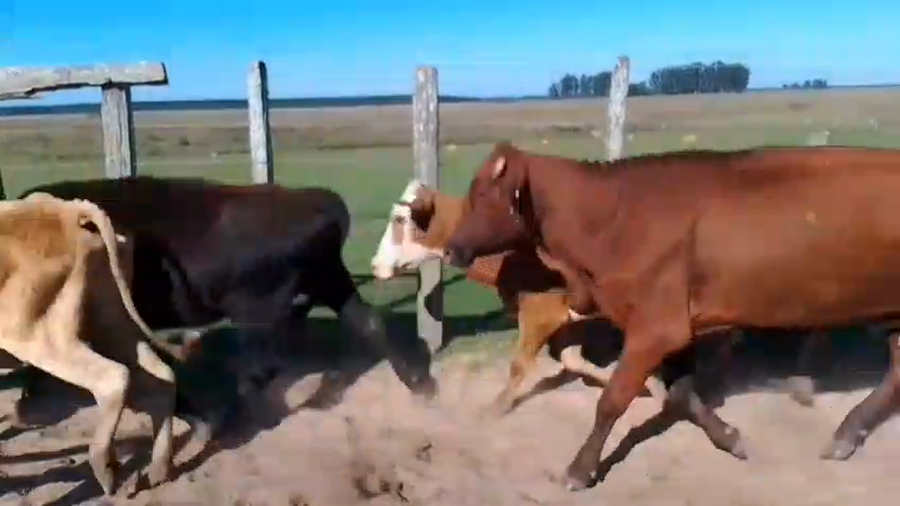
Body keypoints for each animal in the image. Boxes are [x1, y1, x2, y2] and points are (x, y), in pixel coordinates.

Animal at [0, 192, 177, 495]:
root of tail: (67, 210)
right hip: (110, 321)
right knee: (162, 376)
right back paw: (156, 469)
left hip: (37, 335)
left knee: (113, 378)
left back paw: (105, 468)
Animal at [17, 176, 438, 420]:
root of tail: (312, 199)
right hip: (328, 282)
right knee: (367, 322)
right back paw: (417, 384)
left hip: (262, 309)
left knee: (265, 363)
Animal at [445, 143, 900, 492]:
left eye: (481, 197)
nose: (450, 249)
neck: (614, 219)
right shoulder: (677, 331)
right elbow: (681, 394)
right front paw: (730, 438)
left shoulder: (655, 329)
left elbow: (612, 401)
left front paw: (579, 469)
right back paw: (847, 433)